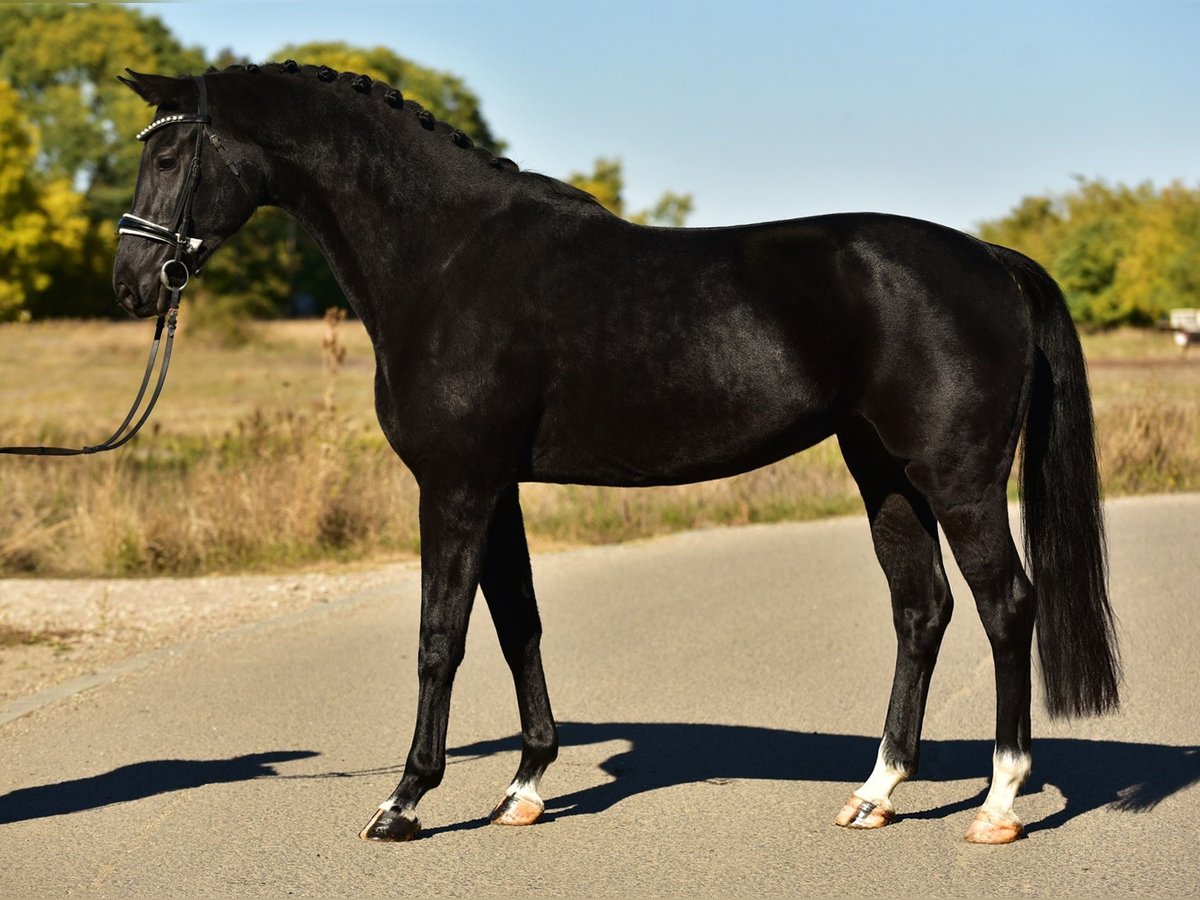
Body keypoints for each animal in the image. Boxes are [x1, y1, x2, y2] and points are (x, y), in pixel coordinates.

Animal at [112, 64, 1120, 845]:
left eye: (167, 156)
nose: (131, 284)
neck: (447, 258)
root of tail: (991, 259)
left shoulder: (456, 486)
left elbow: (441, 636)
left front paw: (404, 802)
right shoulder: (497, 488)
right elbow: (517, 623)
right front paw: (523, 788)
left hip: (958, 479)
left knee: (1005, 605)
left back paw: (998, 804)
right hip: (885, 473)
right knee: (922, 610)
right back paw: (874, 794)